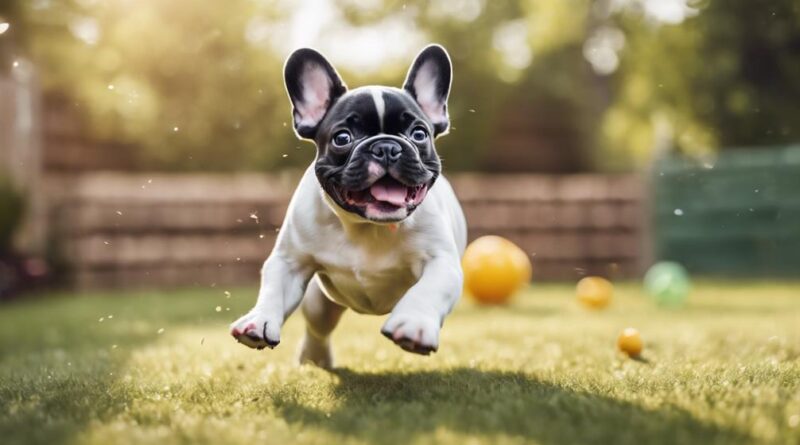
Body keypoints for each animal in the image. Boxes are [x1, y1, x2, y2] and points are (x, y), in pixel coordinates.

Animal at [231, 44, 466, 368]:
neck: (369, 226)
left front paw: (414, 324)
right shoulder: (289, 262)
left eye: (419, 134)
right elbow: (274, 290)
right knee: (318, 328)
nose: (386, 147)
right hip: (320, 303)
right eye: (343, 138)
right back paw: (314, 358)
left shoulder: (441, 261)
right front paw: (259, 320)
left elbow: (428, 289)